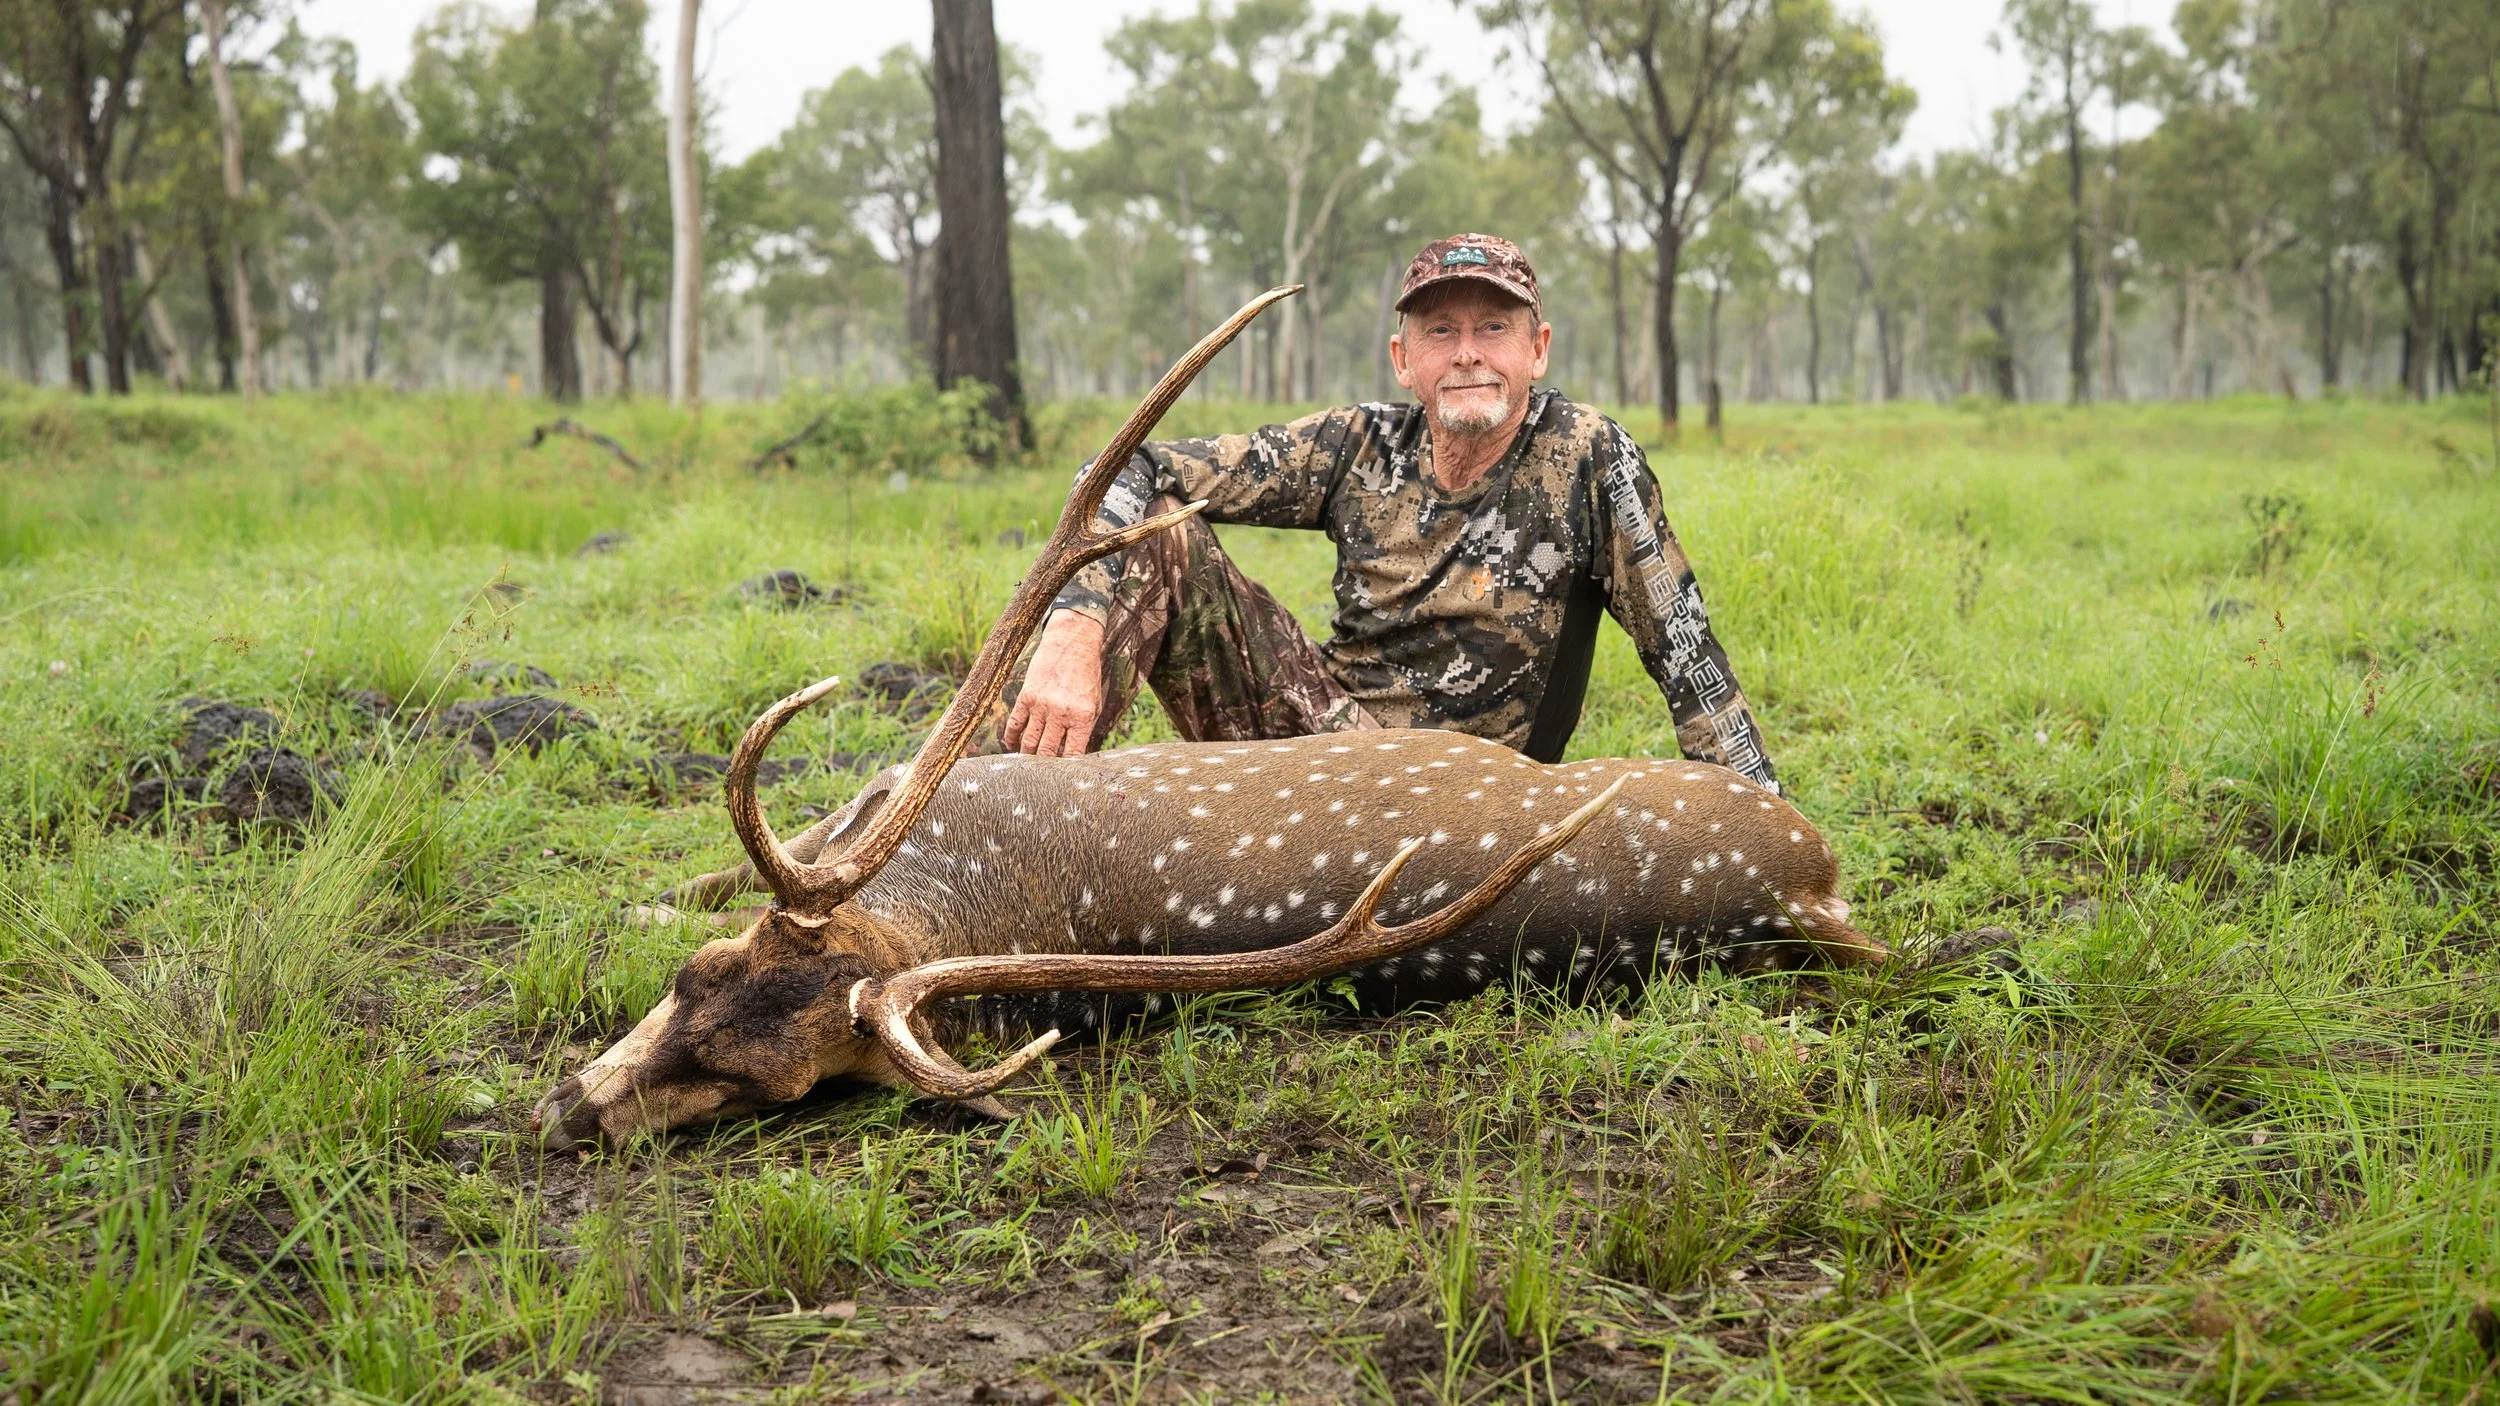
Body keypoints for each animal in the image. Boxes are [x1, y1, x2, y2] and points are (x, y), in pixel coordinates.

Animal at [531, 290, 1888, 1151]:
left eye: (768, 1084)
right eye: (694, 987)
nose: (566, 1109)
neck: (947, 883)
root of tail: (1809, 883)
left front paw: (634, 907)